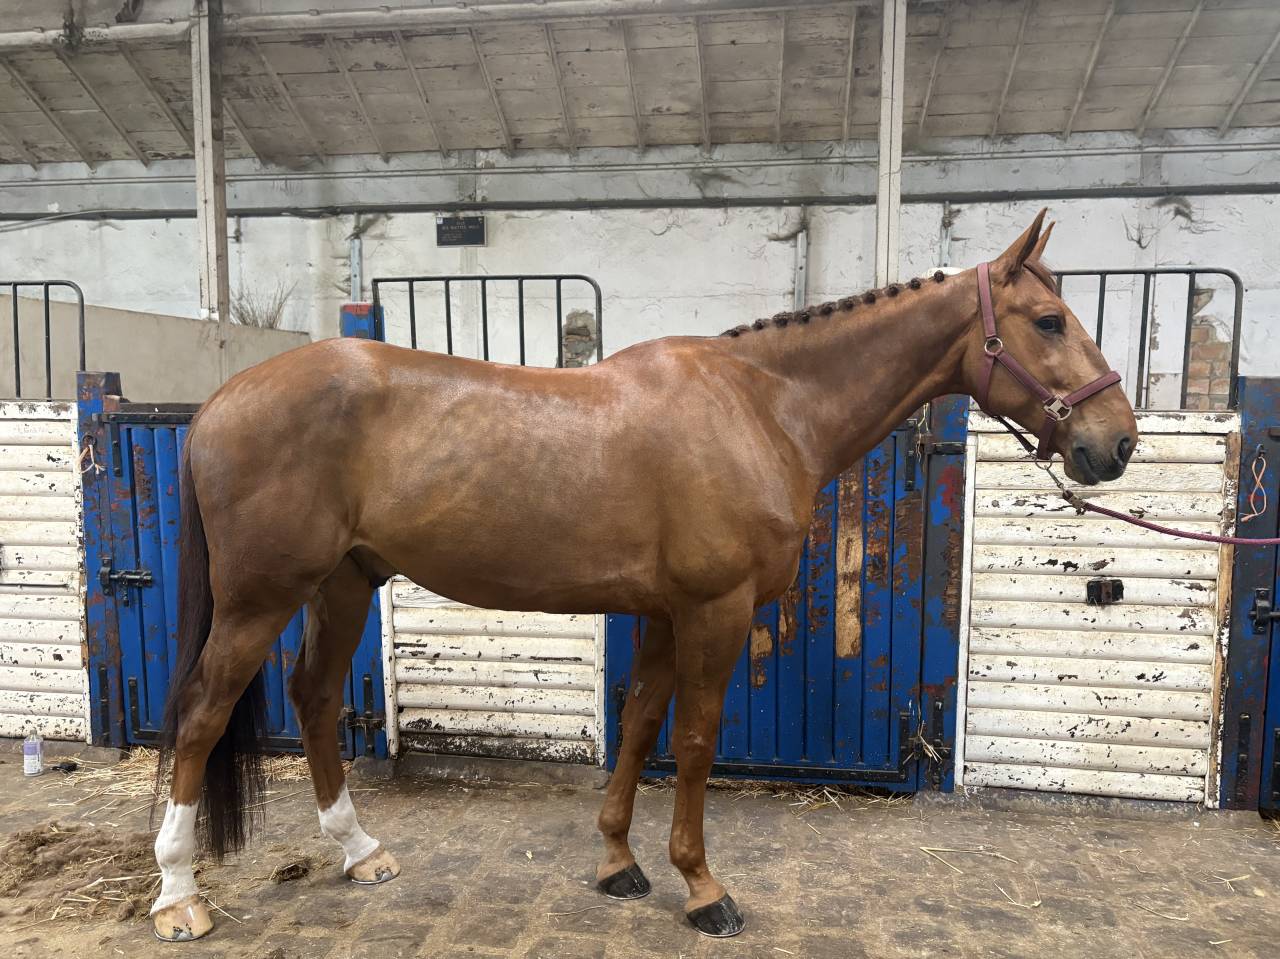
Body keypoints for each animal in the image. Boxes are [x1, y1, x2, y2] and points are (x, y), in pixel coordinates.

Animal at [149, 210, 1138, 941]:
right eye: (1049, 321)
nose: (1118, 443)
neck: (761, 406)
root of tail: (222, 402)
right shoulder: (715, 609)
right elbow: (693, 741)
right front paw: (702, 888)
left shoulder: (666, 613)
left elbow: (639, 728)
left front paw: (618, 864)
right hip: (260, 598)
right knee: (200, 716)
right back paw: (179, 895)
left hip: (344, 582)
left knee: (314, 695)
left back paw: (359, 851)